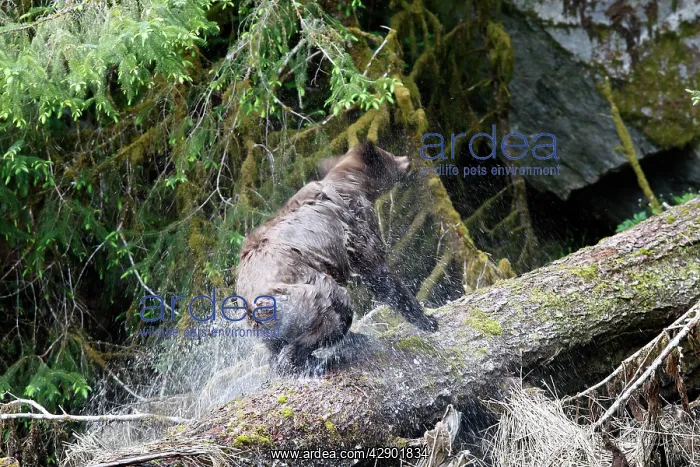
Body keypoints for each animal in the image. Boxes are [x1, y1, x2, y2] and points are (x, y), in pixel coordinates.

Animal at [235, 141, 438, 375]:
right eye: (389, 155)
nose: (407, 160)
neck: (354, 184)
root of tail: (251, 306)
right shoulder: (355, 227)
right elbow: (378, 273)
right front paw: (428, 320)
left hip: (265, 326)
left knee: (277, 348)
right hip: (302, 295)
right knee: (336, 309)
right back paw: (325, 356)